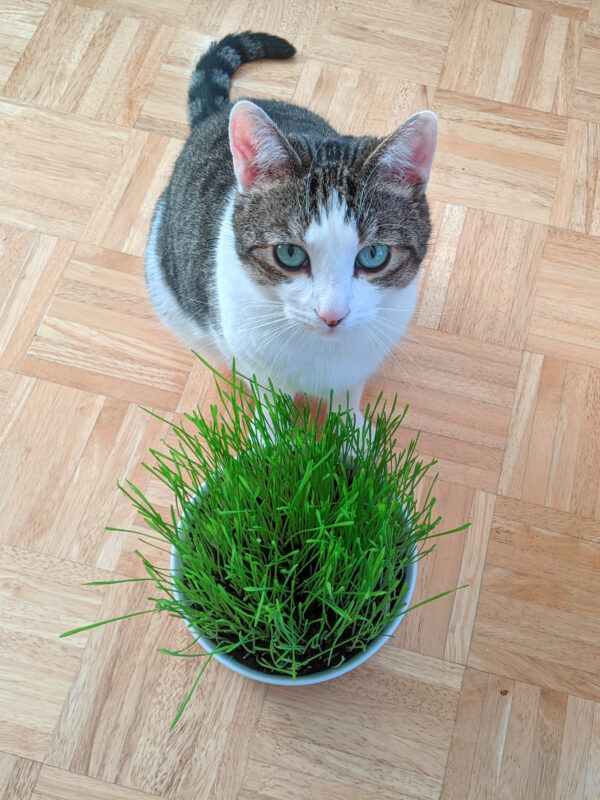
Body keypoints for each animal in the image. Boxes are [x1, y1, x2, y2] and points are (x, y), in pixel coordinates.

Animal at [145, 29, 436, 418]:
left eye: (374, 255)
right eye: (289, 254)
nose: (332, 315)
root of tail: (218, 113)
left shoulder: (362, 360)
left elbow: (347, 398)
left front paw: (353, 430)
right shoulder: (252, 358)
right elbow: (272, 404)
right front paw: (272, 431)